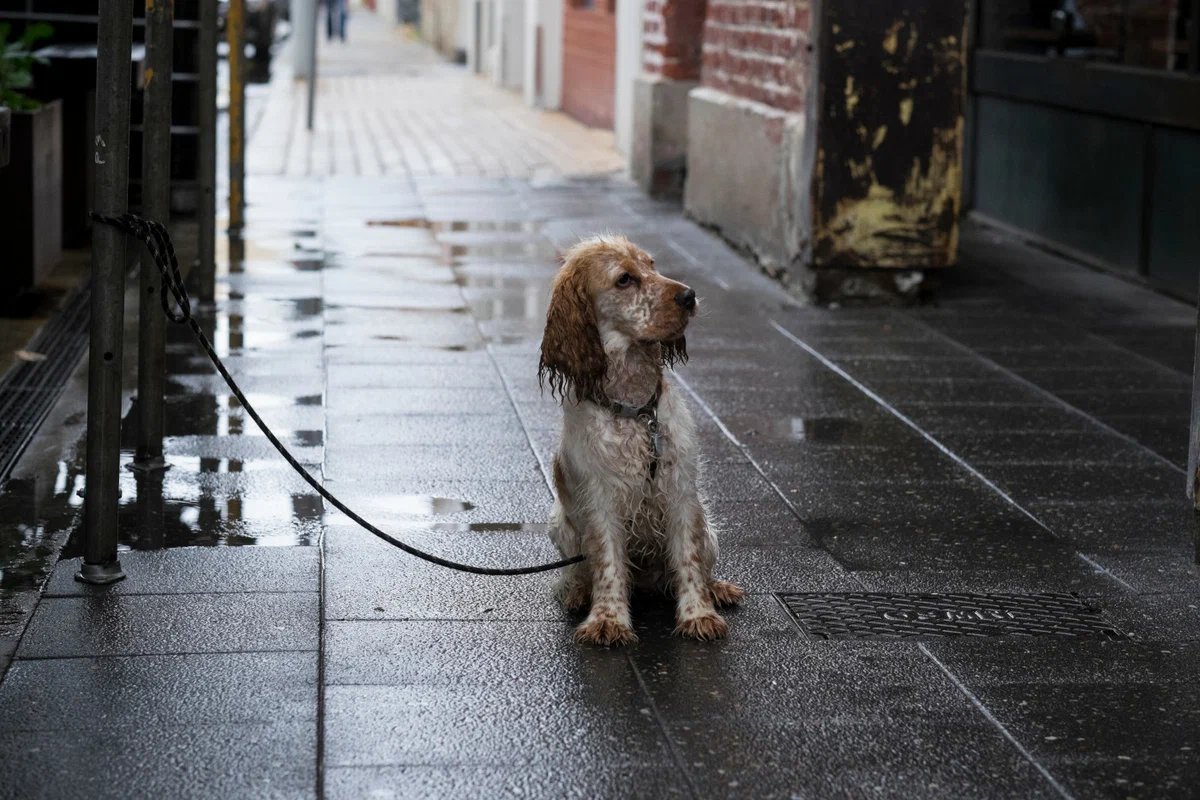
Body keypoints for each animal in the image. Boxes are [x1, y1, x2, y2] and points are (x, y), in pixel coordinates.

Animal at [537, 235, 739, 647]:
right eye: (624, 279)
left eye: (651, 264)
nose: (689, 296)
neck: (636, 412)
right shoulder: (600, 499)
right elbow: (608, 565)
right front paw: (608, 620)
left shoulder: (681, 492)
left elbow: (689, 562)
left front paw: (699, 615)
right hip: (559, 524)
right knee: (577, 572)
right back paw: (576, 592)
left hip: (708, 526)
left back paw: (718, 589)